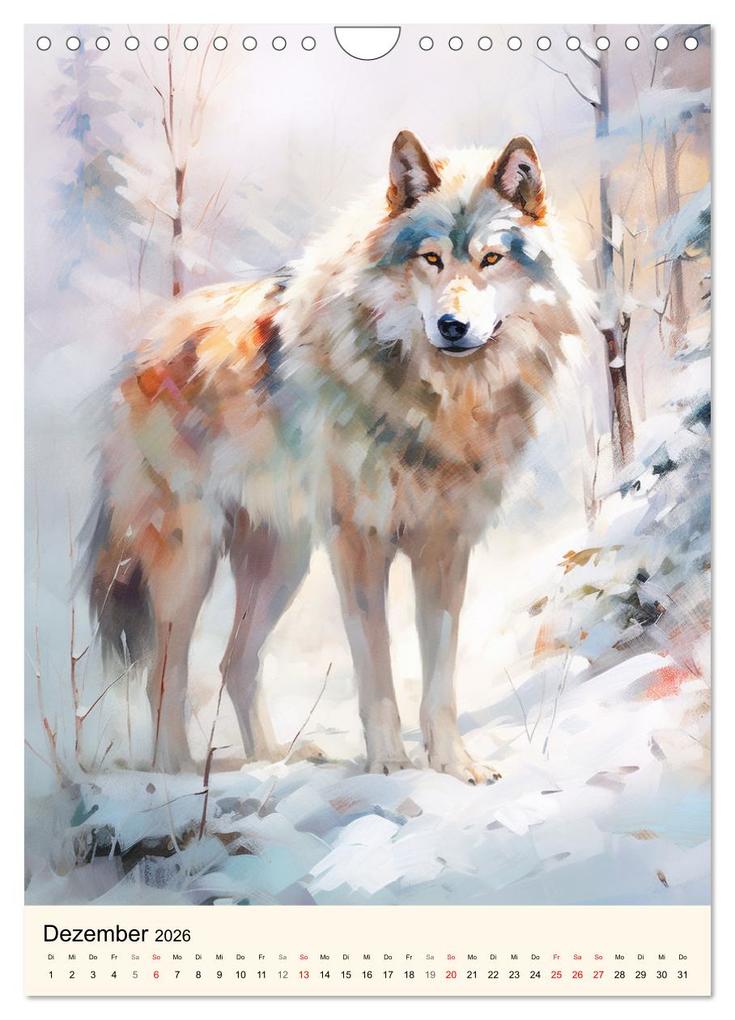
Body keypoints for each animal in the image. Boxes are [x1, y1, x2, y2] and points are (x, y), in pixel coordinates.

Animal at [87, 131, 606, 782]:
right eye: (431, 259)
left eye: (491, 260)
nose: (451, 325)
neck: (439, 403)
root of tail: (142, 344)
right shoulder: (360, 541)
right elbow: (377, 668)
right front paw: (388, 765)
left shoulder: (445, 546)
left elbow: (440, 679)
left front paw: (454, 765)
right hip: (192, 561)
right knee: (165, 670)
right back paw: (174, 773)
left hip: (280, 563)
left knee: (235, 662)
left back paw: (270, 760)